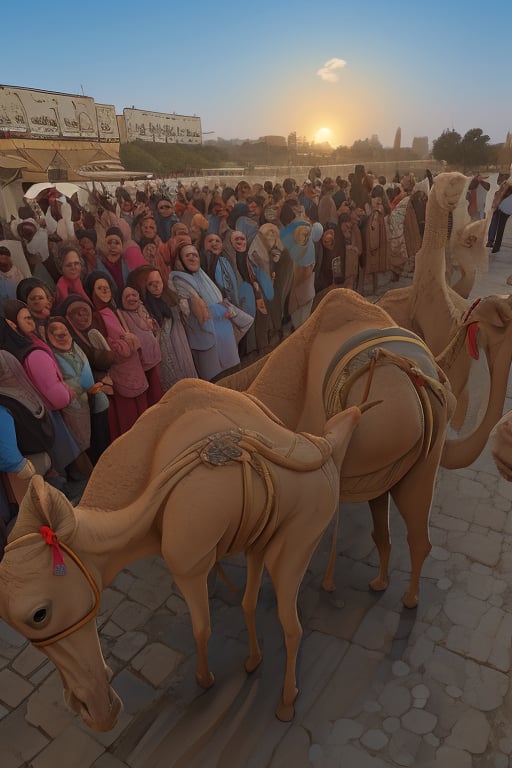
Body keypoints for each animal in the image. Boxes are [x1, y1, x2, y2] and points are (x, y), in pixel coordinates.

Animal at [0, 380, 362, 728]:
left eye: (39, 614)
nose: (93, 711)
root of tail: (327, 451)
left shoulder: (190, 567)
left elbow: (201, 628)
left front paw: (205, 679)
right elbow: (233, 609)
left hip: (298, 540)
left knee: (292, 625)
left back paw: (286, 703)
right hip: (262, 538)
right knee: (250, 601)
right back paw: (253, 661)